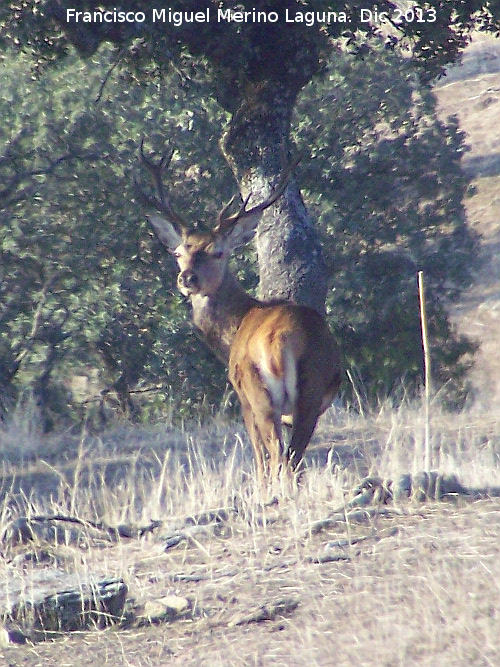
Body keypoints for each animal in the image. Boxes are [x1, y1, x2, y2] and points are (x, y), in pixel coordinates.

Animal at [140, 141, 344, 486]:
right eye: (179, 253)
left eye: (218, 252)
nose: (187, 278)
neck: (234, 327)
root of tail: (280, 341)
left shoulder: (242, 397)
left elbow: (258, 456)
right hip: (311, 391)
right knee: (294, 455)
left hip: (258, 390)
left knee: (275, 455)